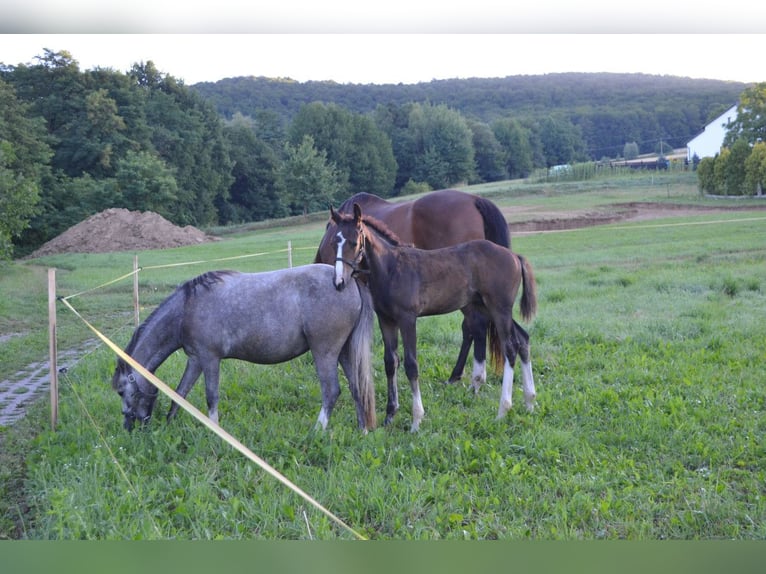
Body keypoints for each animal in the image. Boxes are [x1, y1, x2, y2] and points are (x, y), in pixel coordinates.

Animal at [111, 265, 376, 432]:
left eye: (122, 391)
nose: (129, 426)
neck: (186, 309)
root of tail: (348, 280)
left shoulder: (209, 358)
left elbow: (211, 396)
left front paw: (214, 430)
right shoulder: (195, 359)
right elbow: (180, 393)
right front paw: (169, 425)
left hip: (324, 352)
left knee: (331, 391)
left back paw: (317, 431)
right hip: (344, 353)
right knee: (357, 389)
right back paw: (362, 430)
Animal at [315, 189, 512, 389]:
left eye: (354, 244)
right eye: (334, 244)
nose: (339, 280)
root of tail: (475, 199)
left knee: (473, 325)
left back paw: (461, 374)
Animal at [330, 204, 537, 432]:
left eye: (354, 241)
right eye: (334, 242)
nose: (339, 282)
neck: (391, 268)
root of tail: (514, 256)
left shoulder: (407, 319)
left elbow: (411, 365)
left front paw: (416, 420)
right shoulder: (386, 320)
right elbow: (390, 362)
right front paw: (390, 415)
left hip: (499, 308)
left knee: (510, 347)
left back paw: (503, 409)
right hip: (490, 308)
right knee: (522, 339)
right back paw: (529, 402)